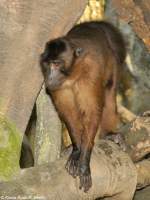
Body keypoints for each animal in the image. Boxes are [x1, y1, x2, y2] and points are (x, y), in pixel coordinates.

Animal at [40, 20, 126, 192]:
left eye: (57, 64)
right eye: (48, 65)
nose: (50, 77)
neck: (73, 74)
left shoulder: (90, 73)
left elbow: (92, 112)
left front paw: (84, 161)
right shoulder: (60, 86)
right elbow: (69, 113)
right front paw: (76, 151)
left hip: (113, 62)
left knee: (109, 92)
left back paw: (109, 134)